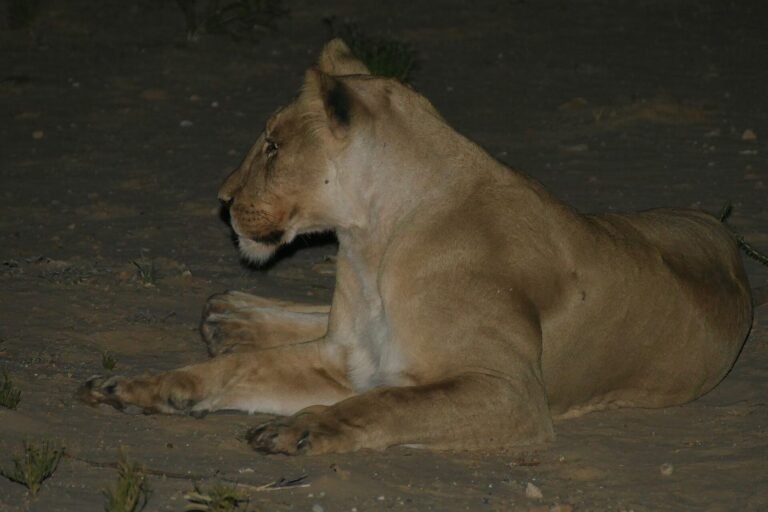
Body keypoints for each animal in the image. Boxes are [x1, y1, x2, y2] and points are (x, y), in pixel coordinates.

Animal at [80, 39, 754, 455]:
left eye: (272, 147)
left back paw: (230, 316)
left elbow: (387, 404)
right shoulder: (344, 356)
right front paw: (141, 388)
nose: (221, 199)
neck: (370, 242)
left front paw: (301, 429)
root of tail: (722, 231)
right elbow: (234, 371)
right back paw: (231, 314)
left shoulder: (509, 392)